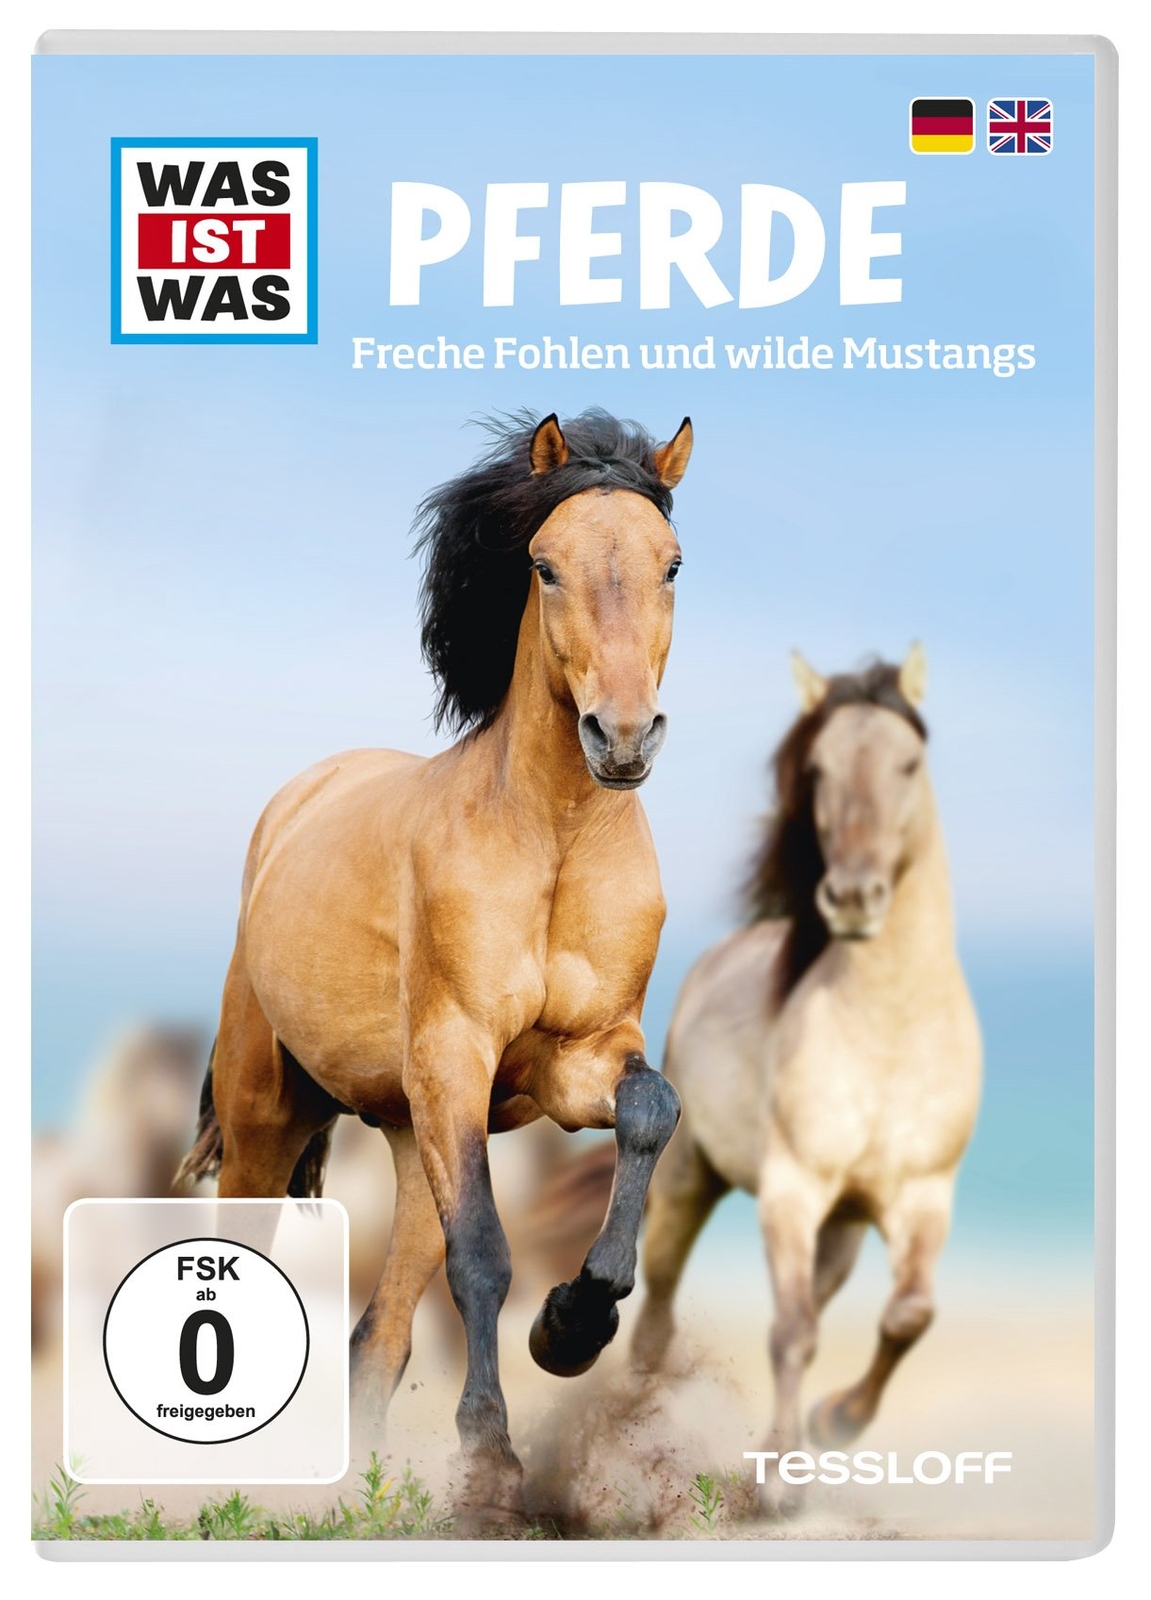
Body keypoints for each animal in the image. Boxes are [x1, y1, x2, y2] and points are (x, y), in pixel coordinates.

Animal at [178, 408, 692, 1527]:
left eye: (672, 563)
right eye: (543, 564)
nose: (623, 737)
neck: (550, 842)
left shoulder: (579, 1060)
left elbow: (649, 1112)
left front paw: (572, 1325)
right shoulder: (456, 1053)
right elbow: (485, 1257)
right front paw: (490, 1457)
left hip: (415, 1136)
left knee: (377, 1335)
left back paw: (352, 1496)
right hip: (267, 1119)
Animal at [630, 646, 982, 1504]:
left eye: (908, 763)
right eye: (817, 769)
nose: (852, 897)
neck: (888, 1030)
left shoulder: (921, 1198)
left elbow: (906, 1317)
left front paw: (834, 1424)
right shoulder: (790, 1190)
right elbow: (789, 1332)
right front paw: (778, 1487)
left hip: (844, 1231)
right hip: (690, 1181)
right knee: (656, 1310)